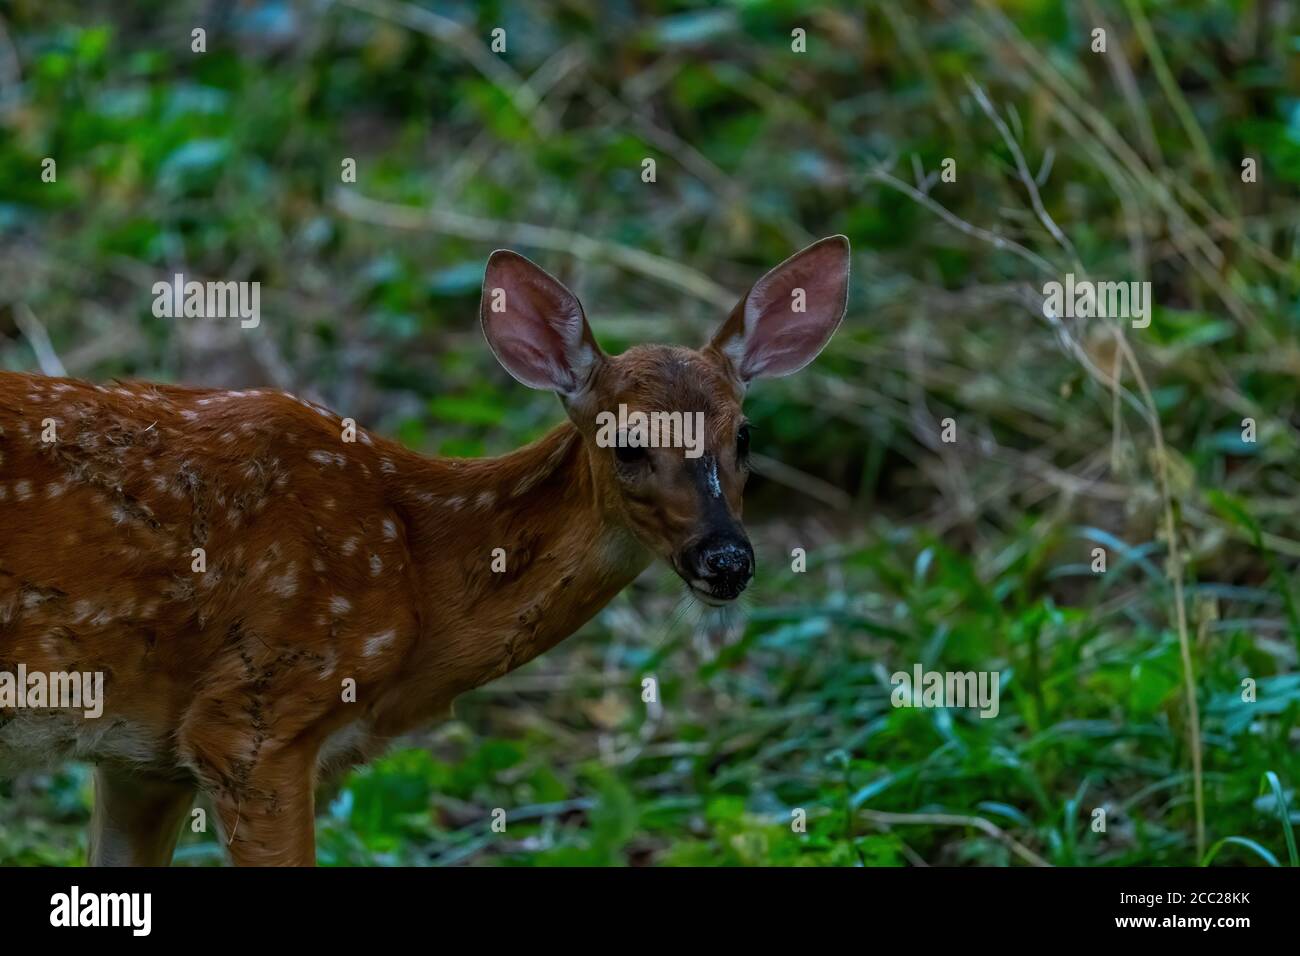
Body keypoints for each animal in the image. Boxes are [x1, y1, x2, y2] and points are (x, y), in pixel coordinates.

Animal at [0, 236, 850, 866]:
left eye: (745, 437)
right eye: (629, 443)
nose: (726, 559)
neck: (415, 572)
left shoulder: (142, 757)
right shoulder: (251, 718)